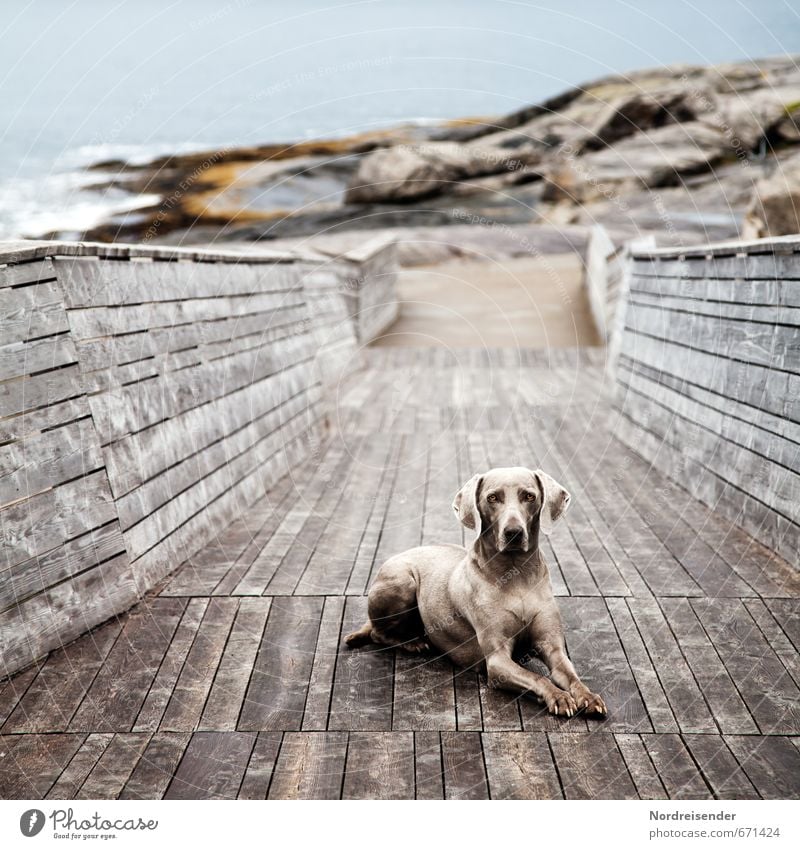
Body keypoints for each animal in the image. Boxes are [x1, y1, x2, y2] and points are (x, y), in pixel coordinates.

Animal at [344, 464, 608, 716]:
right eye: (492, 497)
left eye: (529, 496)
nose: (513, 533)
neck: (517, 575)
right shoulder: (497, 661)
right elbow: (537, 677)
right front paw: (559, 697)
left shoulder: (552, 647)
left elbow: (571, 675)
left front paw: (588, 696)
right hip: (403, 581)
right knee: (378, 633)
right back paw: (413, 643)